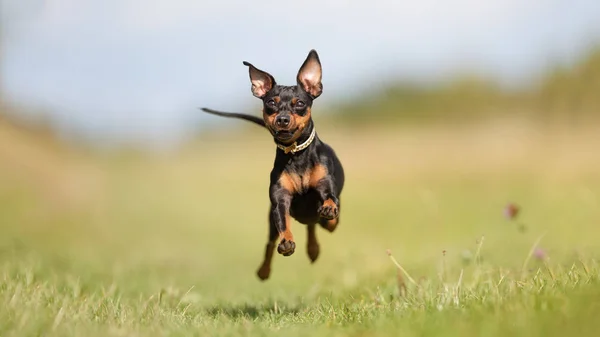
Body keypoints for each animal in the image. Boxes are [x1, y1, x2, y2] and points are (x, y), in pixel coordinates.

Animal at [200, 49, 344, 280]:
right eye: (271, 103)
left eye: (299, 103)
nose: (283, 119)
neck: (296, 154)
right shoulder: (280, 200)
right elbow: (283, 223)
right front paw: (287, 242)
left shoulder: (325, 188)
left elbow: (330, 205)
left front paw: (329, 209)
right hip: (270, 222)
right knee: (272, 243)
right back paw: (265, 270)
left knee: (316, 225)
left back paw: (314, 247)